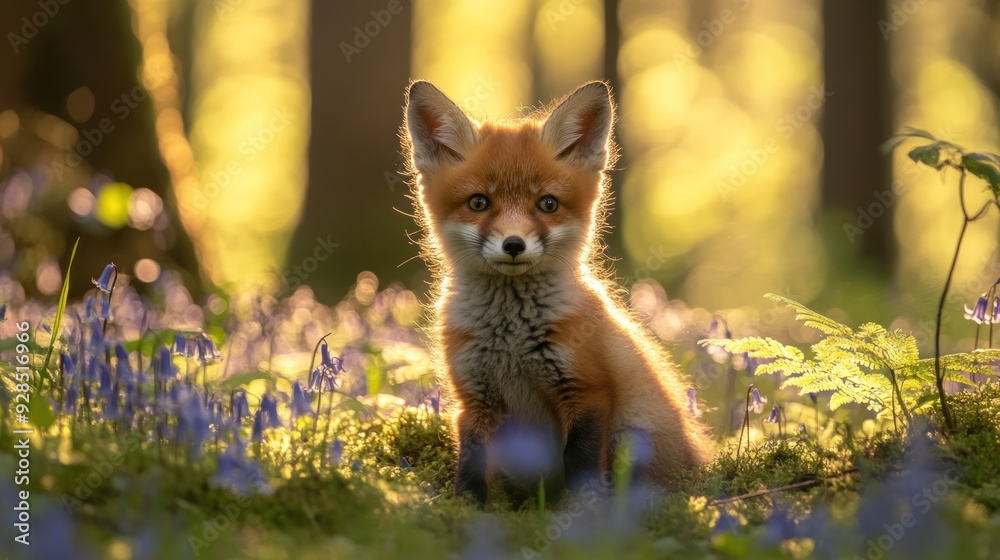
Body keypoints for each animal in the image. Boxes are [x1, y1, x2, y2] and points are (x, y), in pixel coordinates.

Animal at [402, 79, 714, 504]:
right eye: (479, 202)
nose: (513, 245)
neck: (511, 339)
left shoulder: (587, 390)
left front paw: (575, 514)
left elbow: (579, 464)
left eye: (547, 203)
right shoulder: (474, 399)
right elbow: (470, 467)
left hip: (631, 436)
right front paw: (465, 511)